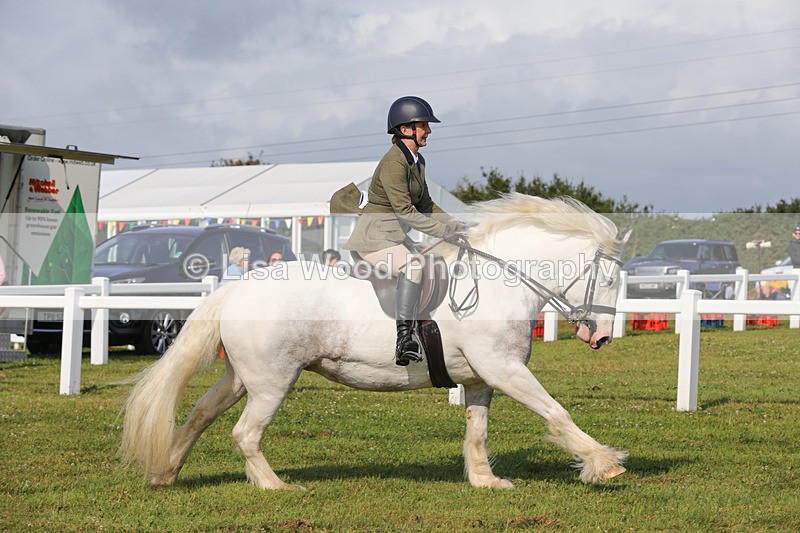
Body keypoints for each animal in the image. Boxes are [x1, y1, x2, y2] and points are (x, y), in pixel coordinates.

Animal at [120, 193, 632, 490]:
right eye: (608, 278)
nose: (603, 336)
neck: (499, 282)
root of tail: (234, 289)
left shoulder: (481, 378)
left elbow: (478, 430)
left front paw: (486, 481)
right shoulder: (505, 369)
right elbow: (556, 412)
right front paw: (604, 463)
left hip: (241, 376)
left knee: (201, 412)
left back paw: (166, 472)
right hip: (271, 381)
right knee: (245, 433)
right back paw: (275, 487)